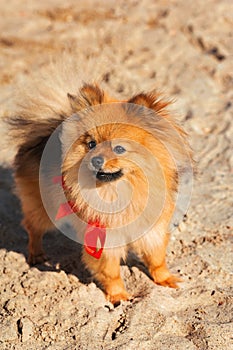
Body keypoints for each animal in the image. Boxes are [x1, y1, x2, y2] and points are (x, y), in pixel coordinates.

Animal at [7, 67, 193, 304]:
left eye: (119, 149)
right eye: (91, 144)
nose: (96, 159)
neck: (120, 192)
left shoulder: (153, 229)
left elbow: (156, 258)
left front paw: (165, 279)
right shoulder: (103, 239)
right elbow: (111, 271)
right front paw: (119, 296)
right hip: (43, 209)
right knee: (32, 227)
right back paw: (36, 254)